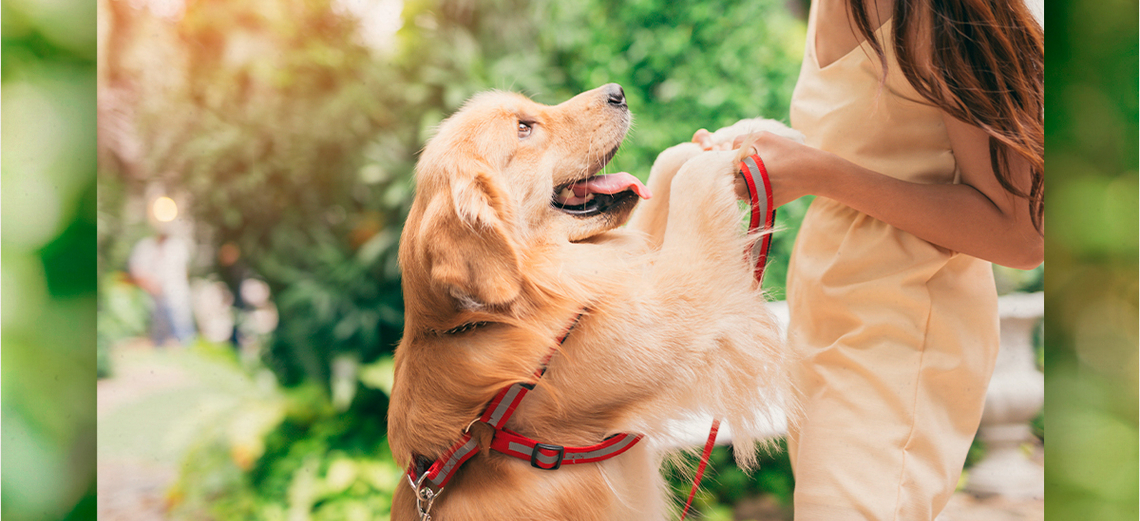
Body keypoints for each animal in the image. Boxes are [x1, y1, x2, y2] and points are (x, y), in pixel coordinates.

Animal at [392, 83, 793, 517]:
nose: (618, 92)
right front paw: (722, 155)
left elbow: (667, 170)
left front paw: (739, 133)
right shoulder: (673, 314)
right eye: (523, 128)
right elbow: (691, 185)